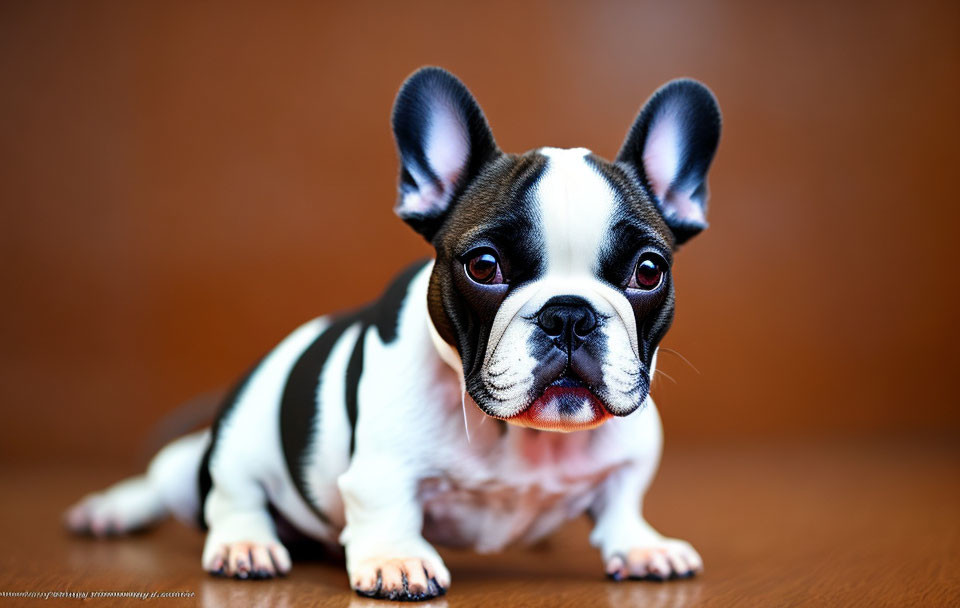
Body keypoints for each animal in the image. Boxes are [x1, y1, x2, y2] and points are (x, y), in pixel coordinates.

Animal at [63, 65, 720, 600]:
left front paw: (641, 543)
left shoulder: (632, 454)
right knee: (214, 491)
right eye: (485, 266)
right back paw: (198, 532)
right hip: (235, 444)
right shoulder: (380, 466)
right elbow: (387, 504)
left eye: (648, 271)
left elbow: (622, 500)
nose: (569, 314)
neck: (521, 438)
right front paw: (397, 560)